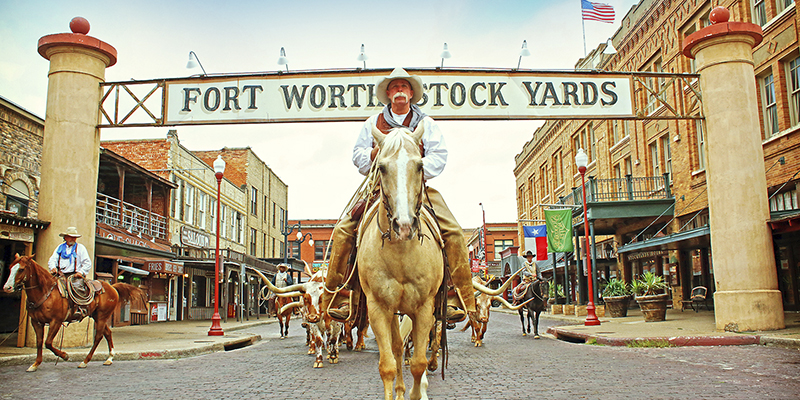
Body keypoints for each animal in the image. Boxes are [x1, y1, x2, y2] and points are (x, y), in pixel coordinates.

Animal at [1, 253, 144, 372]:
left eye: (21, 269)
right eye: (10, 267)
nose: (7, 288)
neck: (45, 292)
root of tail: (112, 287)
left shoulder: (56, 321)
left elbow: (48, 342)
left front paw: (65, 356)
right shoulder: (36, 322)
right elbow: (40, 341)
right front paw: (35, 364)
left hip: (102, 316)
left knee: (98, 336)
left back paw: (85, 361)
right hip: (97, 316)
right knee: (107, 333)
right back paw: (109, 358)